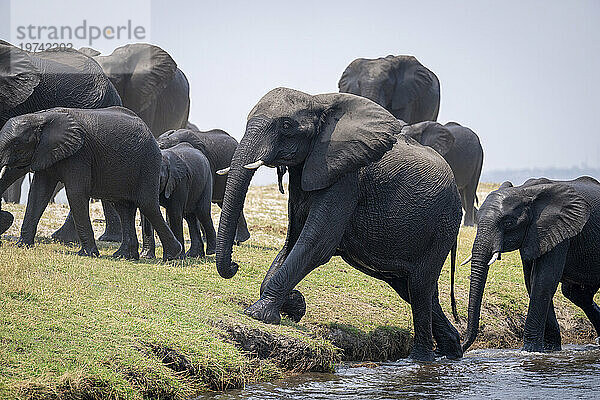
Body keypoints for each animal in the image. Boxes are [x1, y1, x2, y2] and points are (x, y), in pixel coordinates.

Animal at [0, 108, 182, 260]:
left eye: (16, 144)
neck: (40, 117)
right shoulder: (45, 153)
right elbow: (38, 193)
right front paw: (22, 245)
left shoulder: (79, 155)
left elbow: (75, 193)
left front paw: (87, 254)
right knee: (124, 208)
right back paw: (124, 256)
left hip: (148, 163)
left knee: (147, 205)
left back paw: (173, 255)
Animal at [216, 88, 464, 362]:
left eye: (286, 125)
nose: (235, 266)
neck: (317, 101)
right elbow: (291, 243)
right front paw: (295, 305)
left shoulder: (345, 179)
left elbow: (316, 245)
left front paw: (259, 314)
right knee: (412, 288)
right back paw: (452, 350)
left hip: (442, 224)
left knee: (419, 288)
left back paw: (419, 361)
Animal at [460, 178, 600, 354]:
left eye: (508, 223)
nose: (461, 347)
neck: (525, 191)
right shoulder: (534, 235)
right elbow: (532, 281)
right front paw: (550, 350)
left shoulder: (559, 230)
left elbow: (543, 281)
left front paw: (530, 350)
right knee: (576, 294)